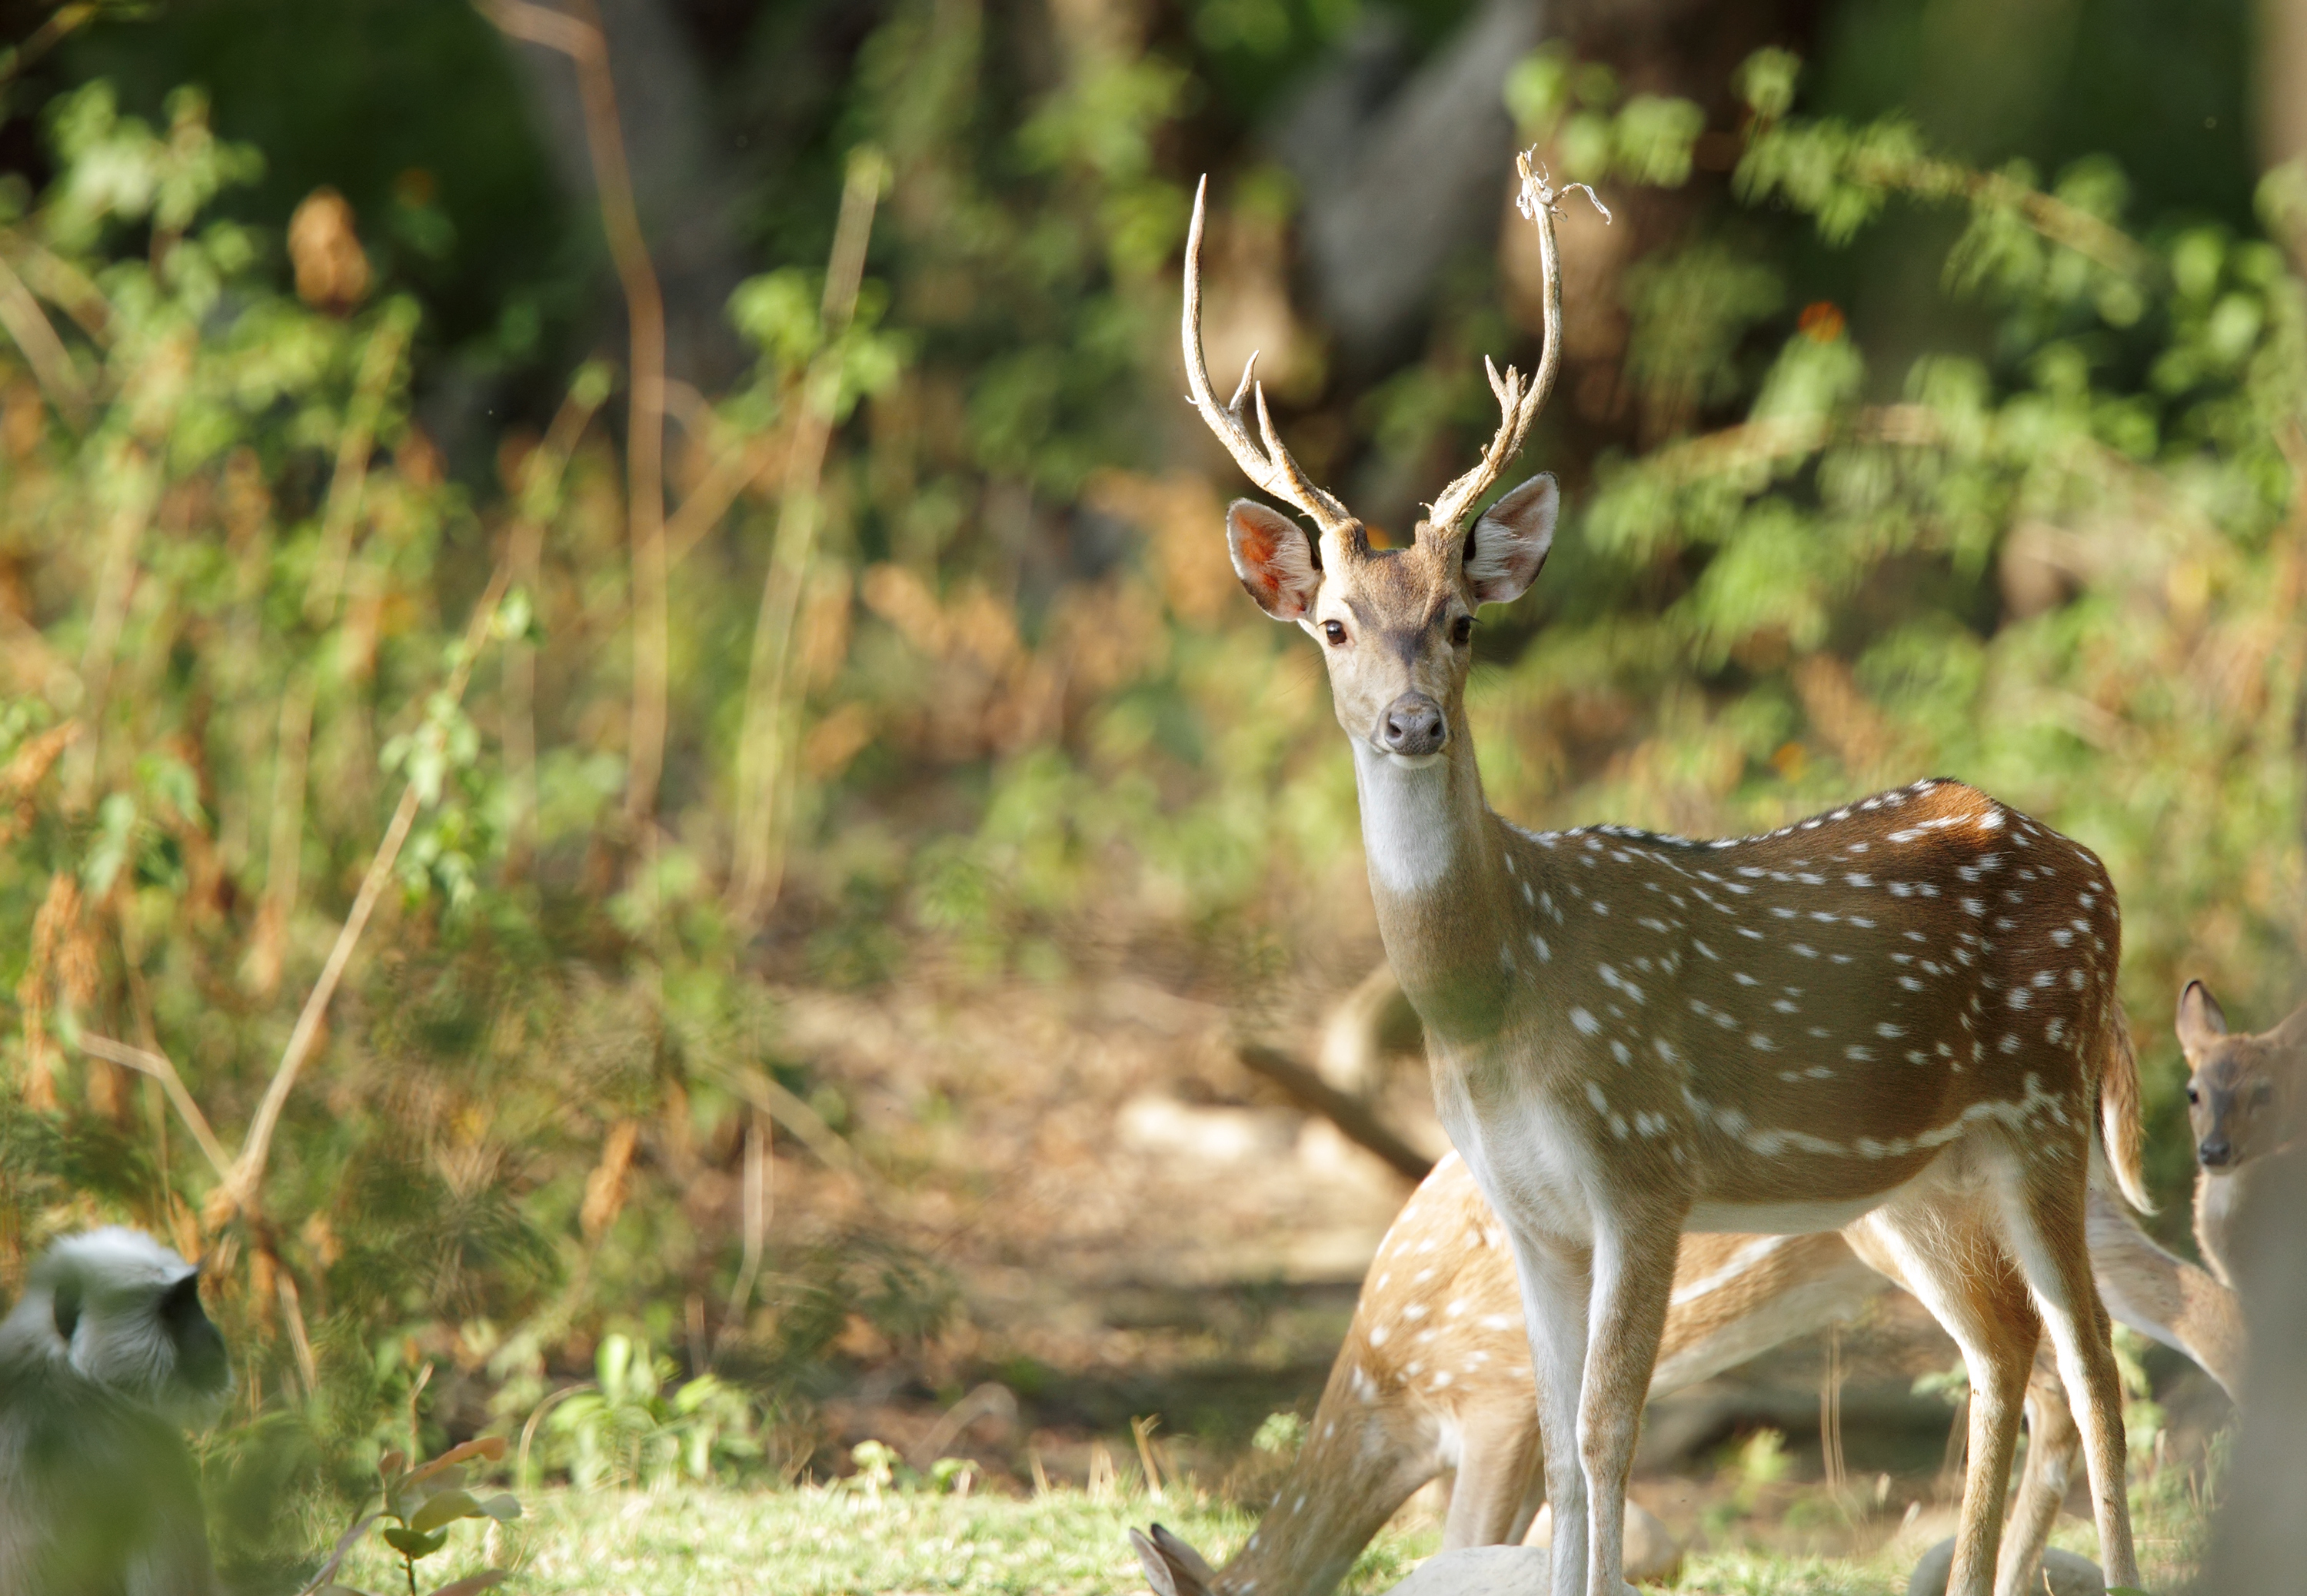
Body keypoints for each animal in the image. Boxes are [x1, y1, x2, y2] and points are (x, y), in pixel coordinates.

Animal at [1181, 152, 2150, 1596]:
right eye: (1336, 627)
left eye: (1461, 622)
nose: (1410, 723)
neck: (1494, 1005)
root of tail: (2094, 867)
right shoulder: (1532, 1211)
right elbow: (1561, 1445)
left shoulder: (1645, 1168)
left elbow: (1601, 1431)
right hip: (1929, 1173)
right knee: (2008, 1356)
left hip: (2044, 1110)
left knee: (2095, 1367)